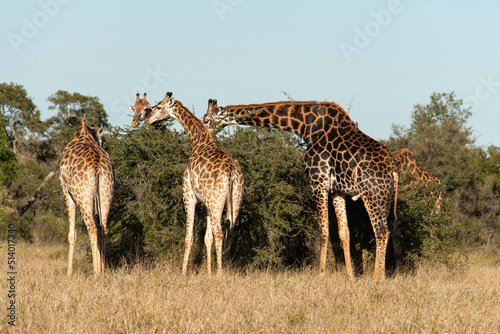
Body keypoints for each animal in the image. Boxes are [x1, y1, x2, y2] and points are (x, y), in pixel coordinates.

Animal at [60, 120, 114, 276]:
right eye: (103, 139)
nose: (103, 143)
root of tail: (96, 165)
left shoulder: (65, 190)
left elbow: (72, 235)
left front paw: (69, 273)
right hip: (106, 192)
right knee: (103, 229)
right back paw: (103, 271)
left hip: (82, 197)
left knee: (93, 228)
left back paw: (96, 273)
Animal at [132, 92, 243, 276]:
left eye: (158, 107)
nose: (148, 120)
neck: (198, 141)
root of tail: (230, 173)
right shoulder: (206, 202)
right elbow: (207, 238)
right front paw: (208, 273)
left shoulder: (188, 194)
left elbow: (189, 236)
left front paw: (183, 272)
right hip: (233, 200)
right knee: (229, 234)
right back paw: (224, 270)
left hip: (216, 201)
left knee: (220, 234)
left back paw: (220, 273)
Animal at [203, 99, 398, 280]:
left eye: (206, 120)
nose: (206, 134)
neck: (306, 126)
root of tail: (392, 167)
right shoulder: (337, 191)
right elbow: (344, 233)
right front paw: (350, 276)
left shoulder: (317, 183)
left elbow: (323, 230)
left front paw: (320, 274)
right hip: (386, 198)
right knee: (387, 230)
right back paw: (382, 274)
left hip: (372, 194)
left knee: (381, 231)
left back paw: (377, 277)